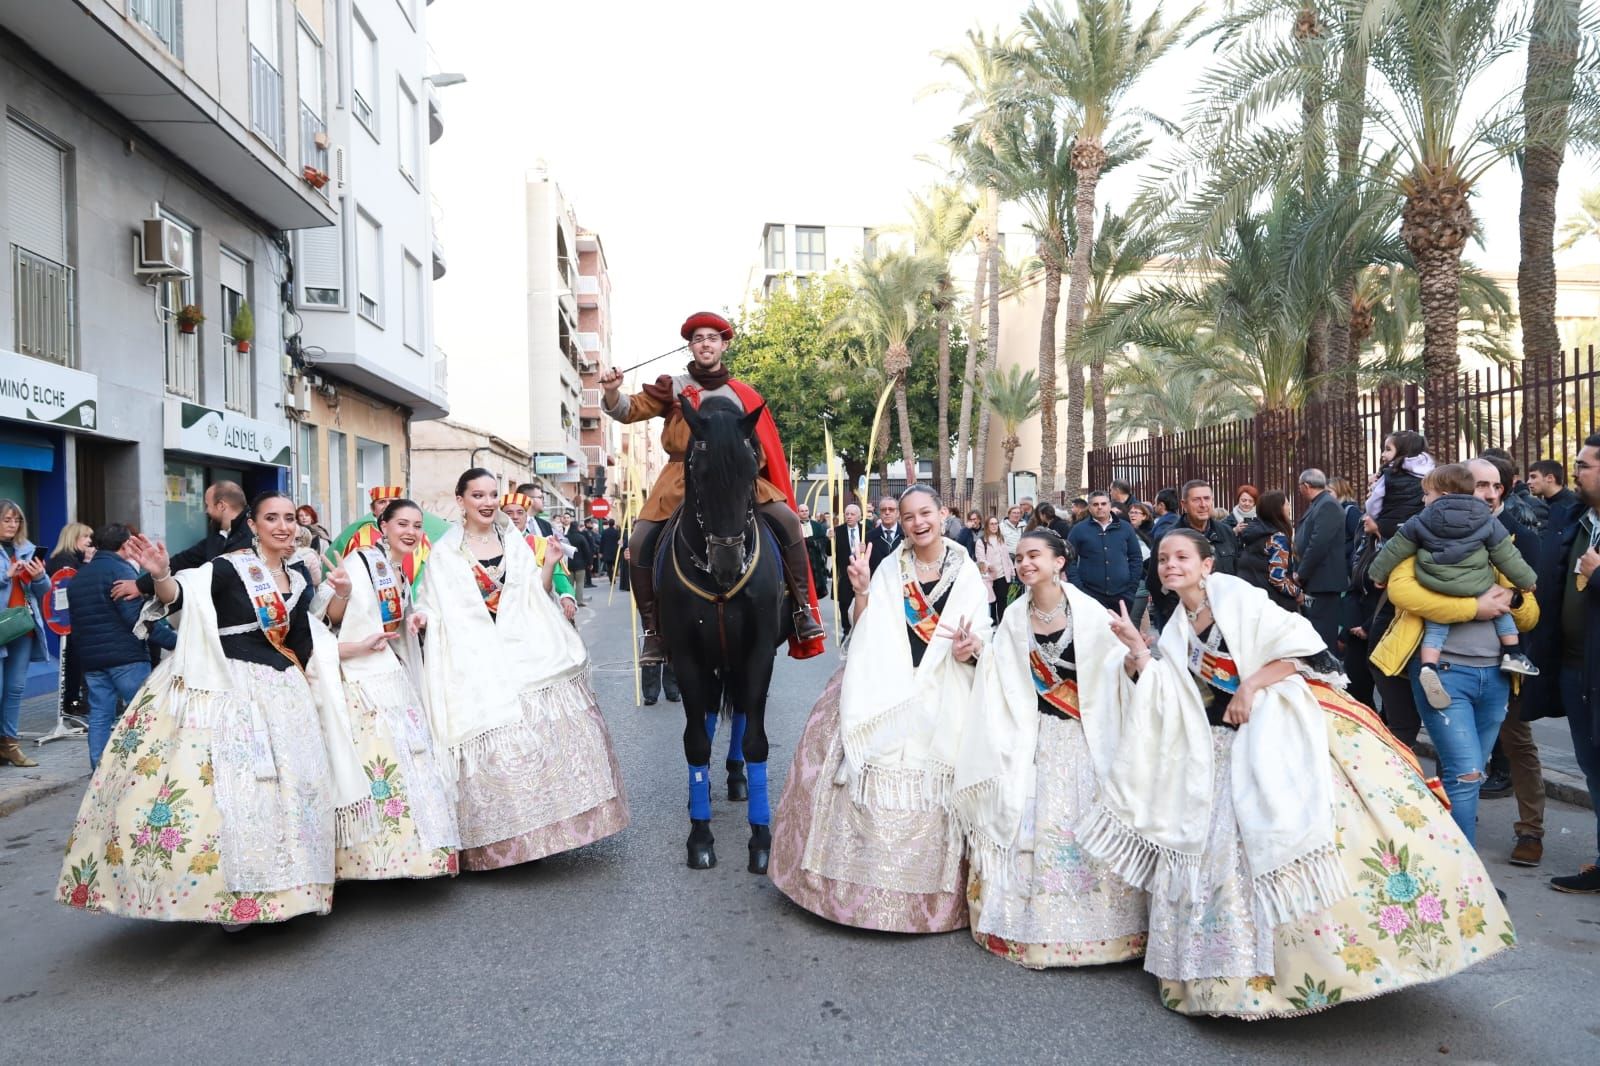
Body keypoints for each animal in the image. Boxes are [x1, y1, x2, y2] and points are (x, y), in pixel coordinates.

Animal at [656, 393, 793, 870]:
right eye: (699, 473)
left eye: (752, 471)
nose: (728, 564)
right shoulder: (687, 656)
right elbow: (697, 741)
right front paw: (700, 836)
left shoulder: (759, 652)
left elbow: (755, 741)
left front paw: (761, 839)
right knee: (714, 713)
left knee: (742, 714)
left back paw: (737, 779)